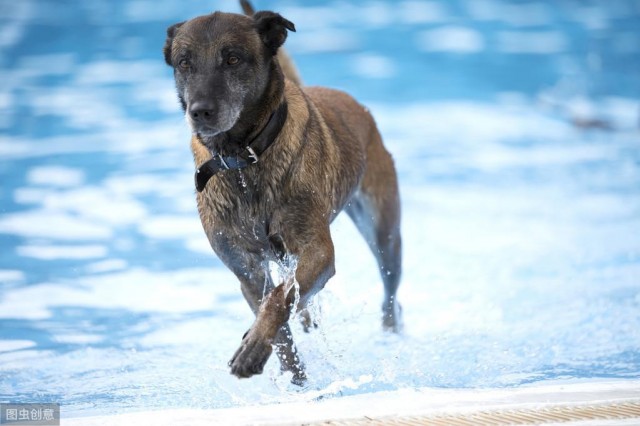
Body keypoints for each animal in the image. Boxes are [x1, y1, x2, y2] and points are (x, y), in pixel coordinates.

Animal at [162, 2, 402, 382]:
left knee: (390, 289)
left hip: (384, 231)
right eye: (184, 62)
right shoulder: (246, 269)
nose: (199, 111)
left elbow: (280, 298)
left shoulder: (317, 251)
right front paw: (292, 374)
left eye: (233, 59)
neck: (243, 160)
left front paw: (254, 346)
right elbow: (279, 322)